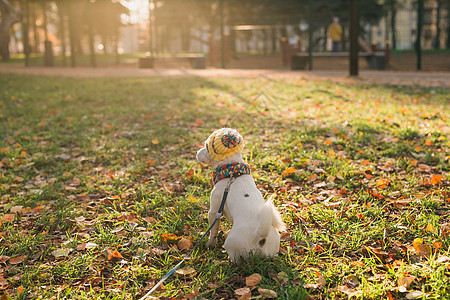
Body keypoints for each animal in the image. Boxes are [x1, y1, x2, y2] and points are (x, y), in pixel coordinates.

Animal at [196, 127, 284, 262]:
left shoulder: (214, 211)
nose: (196, 152)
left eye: (206, 145)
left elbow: (213, 231)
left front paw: (210, 244)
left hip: (231, 245)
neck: (232, 173)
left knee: (236, 260)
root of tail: (260, 239)